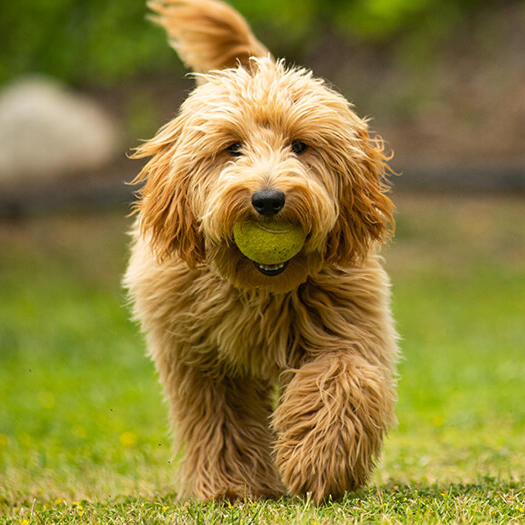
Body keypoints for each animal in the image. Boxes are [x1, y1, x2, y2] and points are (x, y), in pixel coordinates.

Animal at [126, 0, 398, 502]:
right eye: (232, 148)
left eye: (301, 146)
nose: (268, 200)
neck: (256, 287)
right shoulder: (200, 359)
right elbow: (219, 419)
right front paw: (231, 487)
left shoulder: (346, 323)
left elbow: (345, 378)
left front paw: (319, 460)